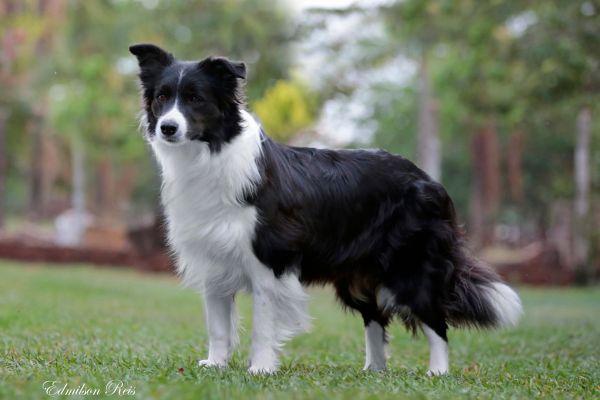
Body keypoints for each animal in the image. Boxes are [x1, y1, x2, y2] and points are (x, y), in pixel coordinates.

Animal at [130, 43, 520, 376]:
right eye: (162, 97)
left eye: (196, 99)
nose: (167, 128)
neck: (209, 153)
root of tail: (429, 179)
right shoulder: (212, 258)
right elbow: (218, 327)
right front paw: (215, 364)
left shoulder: (270, 261)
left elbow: (262, 325)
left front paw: (260, 369)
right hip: (357, 277)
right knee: (375, 318)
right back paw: (373, 371)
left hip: (410, 266)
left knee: (435, 320)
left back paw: (436, 372)